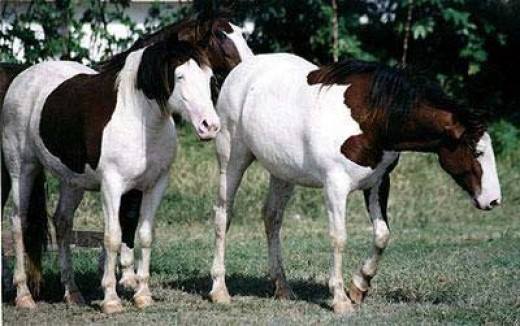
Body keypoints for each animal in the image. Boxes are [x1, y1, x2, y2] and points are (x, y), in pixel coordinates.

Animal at [209, 53, 502, 314]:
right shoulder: (335, 187)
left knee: (272, 218)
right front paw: (340, 299)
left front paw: (359, 286)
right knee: (223, 216)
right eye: (477, 152)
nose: (493, 200)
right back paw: (220, 290)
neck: (373, 117)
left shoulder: (378, 184)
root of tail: (242, 69)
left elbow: (382, 235)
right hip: (232, 161)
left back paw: (282, 287)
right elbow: (339, 238)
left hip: (282, 174)